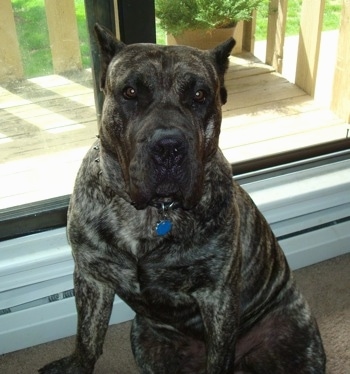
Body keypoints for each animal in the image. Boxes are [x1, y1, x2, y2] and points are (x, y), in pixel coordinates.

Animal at [39, 24, 326, 374]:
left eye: (200, 95)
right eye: (130, 92)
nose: (168, 147)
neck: (151, 213)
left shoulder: (218, 297)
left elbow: (219, 357)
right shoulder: (92, 279)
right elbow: (87, 339)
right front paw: (77, 363)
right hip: (145, 339)